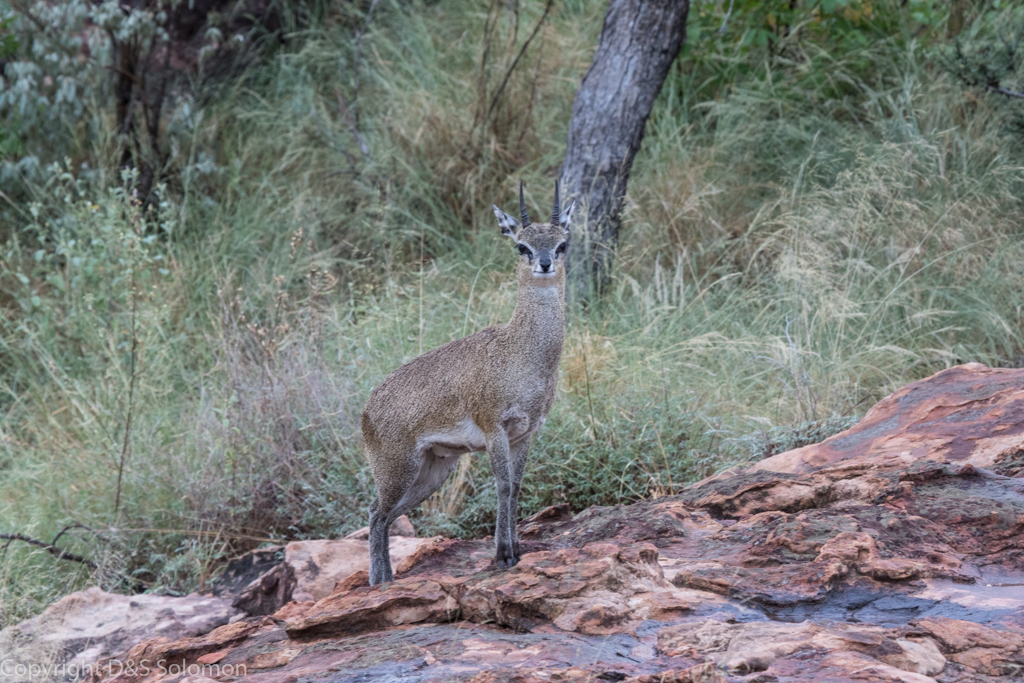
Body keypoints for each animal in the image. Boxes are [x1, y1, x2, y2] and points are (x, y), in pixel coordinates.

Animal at [360, 183, 573, 589]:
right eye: (521, 245)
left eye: (562, 244)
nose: (544, 264)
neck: (522, 352)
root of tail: (365, 411)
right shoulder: (494, 428)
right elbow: (502, 485)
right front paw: (503, 555)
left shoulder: (526, 433)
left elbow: (516, 486)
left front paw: (516, 547)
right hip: (398, 469)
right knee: (376, 513)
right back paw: (379, 583)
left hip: (432, 471)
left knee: (385, 516)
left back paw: (386, 581)